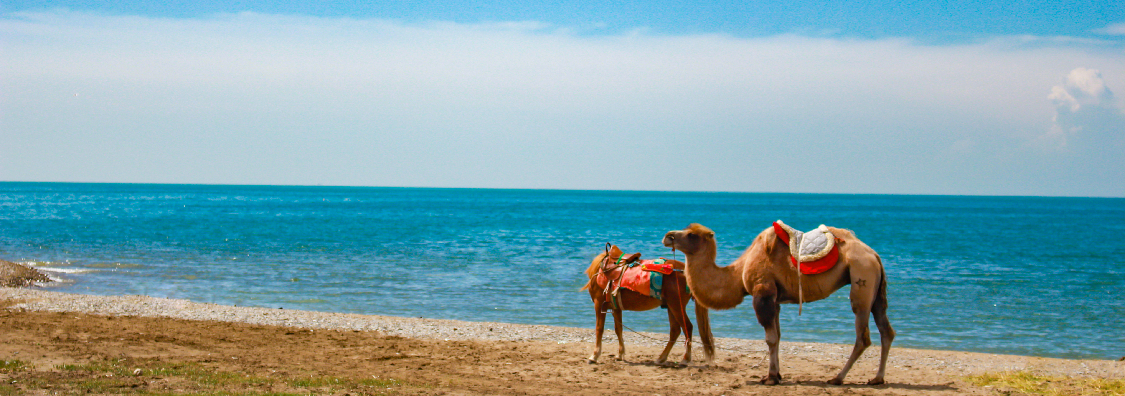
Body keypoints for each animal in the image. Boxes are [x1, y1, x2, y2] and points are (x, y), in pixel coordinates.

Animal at [585, 243, 715, 366]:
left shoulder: (598, 303)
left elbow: (599, 329)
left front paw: (594, 356)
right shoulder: (616, 308)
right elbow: (619, 329)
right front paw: (620, 354)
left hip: (677, 306)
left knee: (687, 327)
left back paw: (685, 359)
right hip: (671, 306)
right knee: (675, 331)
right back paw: (661, 358)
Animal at [657, 223, 895, 384]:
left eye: (691, 234)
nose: (668, 236)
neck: (738, 273)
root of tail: (874, 255)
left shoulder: (763, 293)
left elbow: (770, 339)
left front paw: (770, 377)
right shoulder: (776, 299)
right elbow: (778, 337)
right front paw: (778, 374)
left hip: (861, 278)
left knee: (863, 336)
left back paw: (838, 378)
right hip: (875, 289)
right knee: (886, 330)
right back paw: (877, 378)